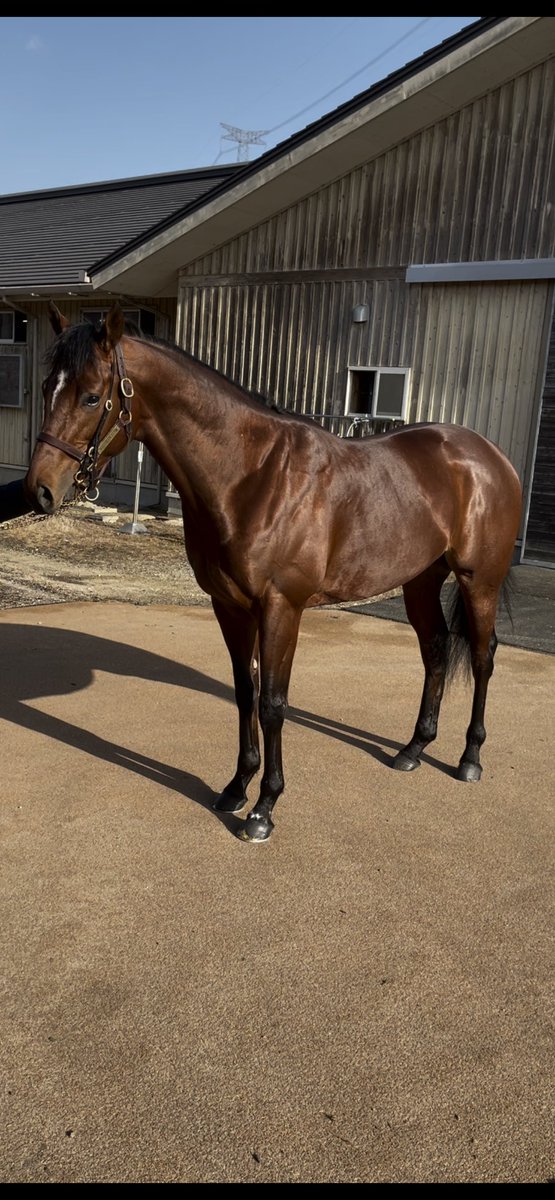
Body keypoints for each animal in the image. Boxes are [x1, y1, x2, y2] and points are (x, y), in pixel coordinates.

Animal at [23, 300, 521, 844]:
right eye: (47, 388)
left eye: (92, 396)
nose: (39, 490)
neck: (251, 476)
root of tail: (488, 455)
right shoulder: (229, 606)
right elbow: (245, 693)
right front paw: (236, 787)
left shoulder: (282, 607)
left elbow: (273, 703)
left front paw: (264, 808)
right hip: (420, 580)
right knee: (434, 650)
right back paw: (413, 749)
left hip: (478, 582)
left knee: (482, 657)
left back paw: (469, 758)